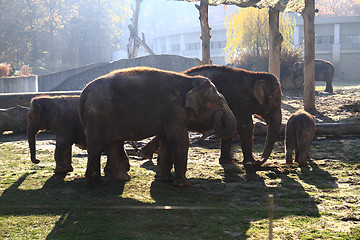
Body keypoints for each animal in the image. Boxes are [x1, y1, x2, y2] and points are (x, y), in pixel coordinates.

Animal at [79, 66, 236, 187]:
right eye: (218, 101)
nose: (220, 115)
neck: (189, 80)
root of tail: (84, 92)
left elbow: (166, 140)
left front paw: (166, 180)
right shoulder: (174, 109)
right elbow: (180, 140)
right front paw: (184, 185)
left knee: (113, 144)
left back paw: (122, 178)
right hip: (98, 117)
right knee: (97, 147)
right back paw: (96, 184)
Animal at [139, 64, 282, 166]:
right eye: (276, 99)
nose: (259, 160)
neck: (254, 76)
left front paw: (227, 161)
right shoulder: (239, 102)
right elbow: (245, 126)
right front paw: (250, 163)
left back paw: (148, 155)